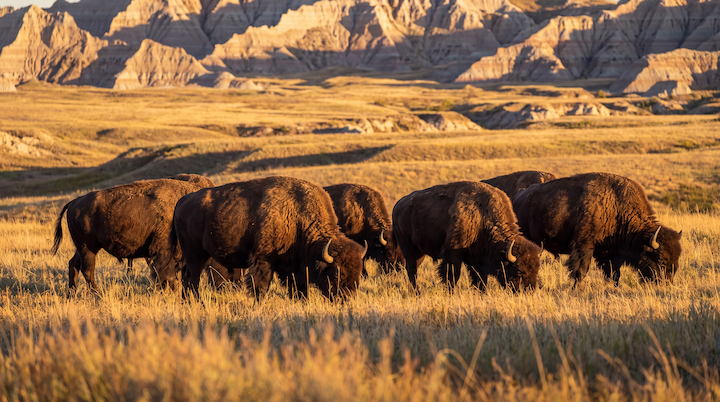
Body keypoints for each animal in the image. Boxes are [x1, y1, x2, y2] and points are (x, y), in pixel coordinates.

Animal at [51, 174, 215, 292]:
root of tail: (74, 202)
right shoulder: (164, 251)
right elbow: (165, 274)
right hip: (87, 247)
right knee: (87, 270)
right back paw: (98, 296)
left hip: (83, 247)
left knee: (74, 264)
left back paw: (72, 295)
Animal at [171, 176, 366, 300]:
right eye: (337, 272)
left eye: (358, 271)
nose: (346, 298)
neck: (298, 216)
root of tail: (182, 200)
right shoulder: (263, 260)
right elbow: (261, 286)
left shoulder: (293, 267)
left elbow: (298, 288)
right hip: (194, 253)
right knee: (191, 277)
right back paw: (196, 302)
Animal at [392, 181, 541, 290]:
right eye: (519, 271)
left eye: (536, 269)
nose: (529, 291)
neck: (482, 216)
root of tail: (398, 205)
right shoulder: (453, 254)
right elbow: (452, 276)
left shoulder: (478, 259)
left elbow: (480, 280)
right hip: (409, 249)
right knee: (412, 270)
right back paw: (416, 292)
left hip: (420, 252)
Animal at [512, 172, 682, 286]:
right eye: (661, 259)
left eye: (677, 258)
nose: (666, 283)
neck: (616, 206)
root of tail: (517, 198)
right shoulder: (584, 246)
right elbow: (580, 270)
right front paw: (576, 288)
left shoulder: (611, 253)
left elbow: (614, 273)